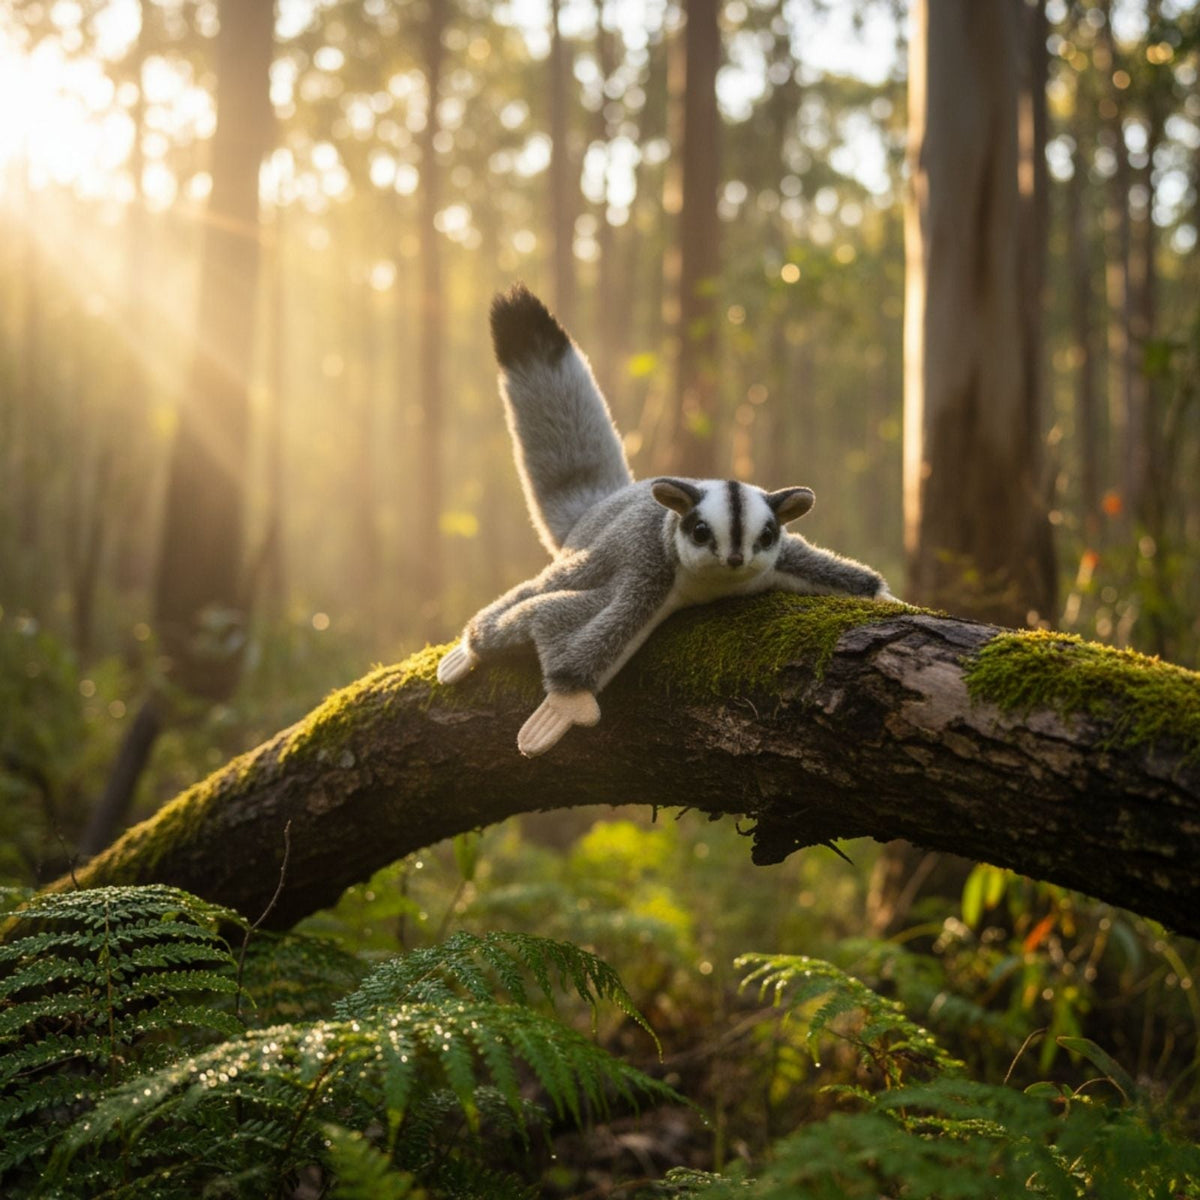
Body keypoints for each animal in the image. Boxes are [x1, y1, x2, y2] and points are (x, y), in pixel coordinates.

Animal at [437, 284, 900, 756]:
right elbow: (567, 619)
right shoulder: (649, 569)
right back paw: (469, 650)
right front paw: (568, 702)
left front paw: (883, 597)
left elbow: (829, 569)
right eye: (700, 531)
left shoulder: (785, 558)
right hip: (584, 559)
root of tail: (604, 504)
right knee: (532, 599)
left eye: (767, 534)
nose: (736, 559)